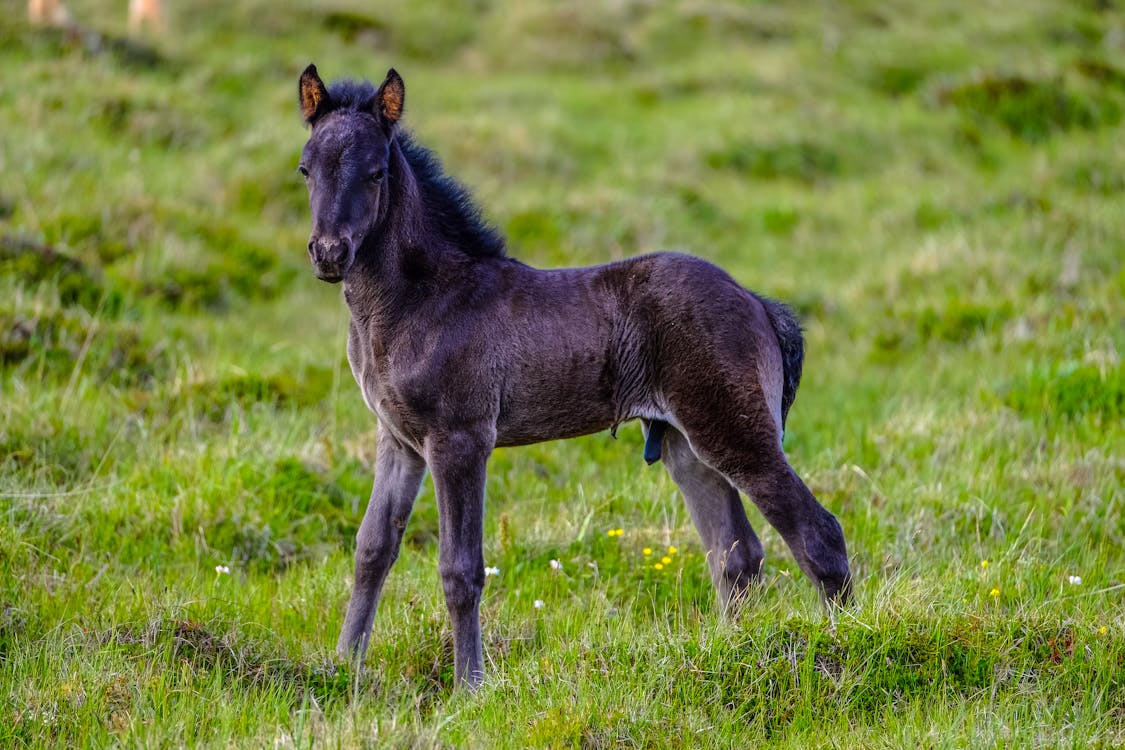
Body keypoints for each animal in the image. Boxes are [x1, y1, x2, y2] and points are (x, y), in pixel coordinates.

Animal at [294, 66, 846, 692]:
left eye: (377, 171)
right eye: (306, 168)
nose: (329, 253)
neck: (422, 299)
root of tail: (757, 303)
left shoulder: (460, 439)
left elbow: (460, 568)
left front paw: (470, 687)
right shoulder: (399, 439)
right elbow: (371, 549)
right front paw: (343, 667)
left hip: (734, 430)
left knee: (818, 534)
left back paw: (846, 642)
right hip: (686, 445)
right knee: (736, 557)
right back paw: (733, 652)